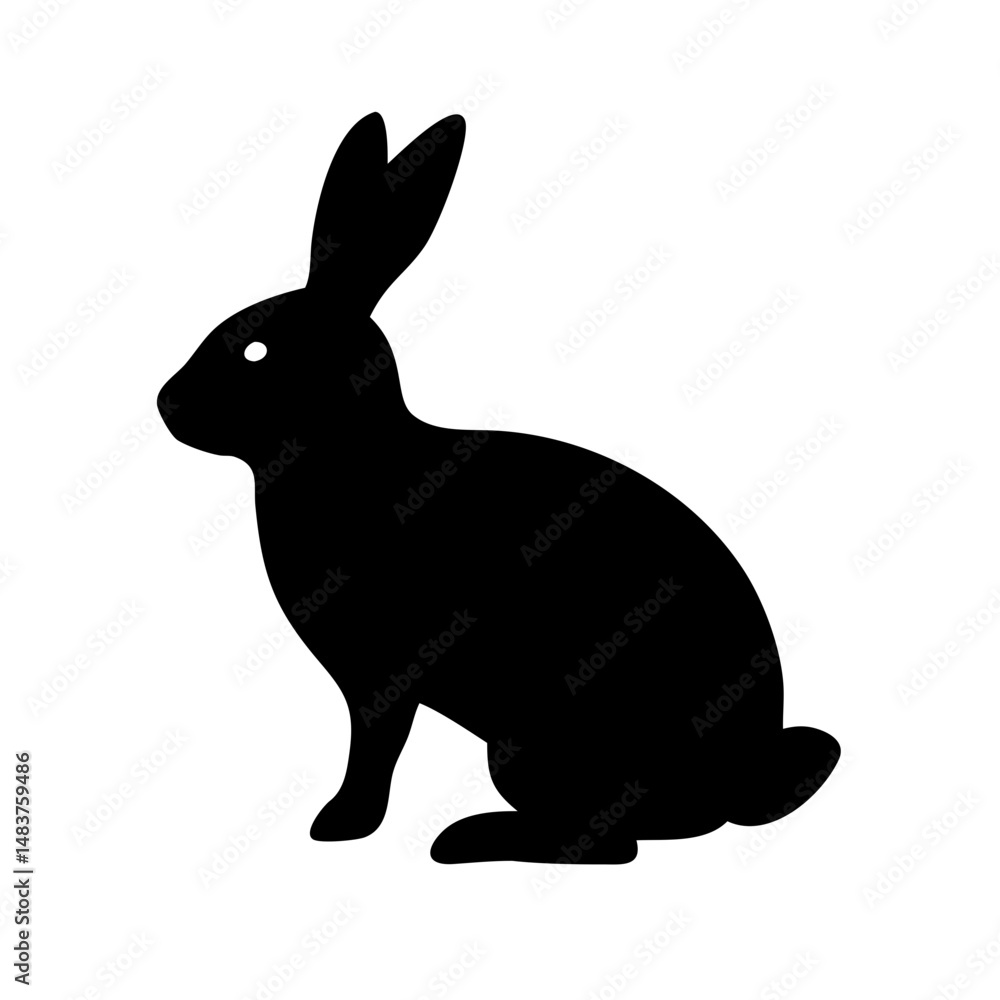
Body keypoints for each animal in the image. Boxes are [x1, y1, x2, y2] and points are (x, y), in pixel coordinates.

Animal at [158, 111, 839, 864]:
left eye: (256, 352)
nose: (167, 404)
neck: (352, 457)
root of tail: (734, 785)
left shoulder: (381, 677)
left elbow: (377, 747)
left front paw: (340, 824)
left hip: (530, 747)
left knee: (609, 842)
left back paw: (465, 839)